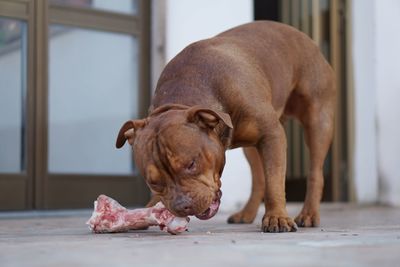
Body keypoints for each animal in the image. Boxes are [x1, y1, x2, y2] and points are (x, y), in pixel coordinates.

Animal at [115, 22, 334, 233]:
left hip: (318, 121)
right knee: (259, 178)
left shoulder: (272, 135)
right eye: (153, 182)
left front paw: (277, 217)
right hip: (250, 147)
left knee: (315, 172)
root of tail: (304, 37)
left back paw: (308, 214)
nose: (182, 205)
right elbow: (267, 179)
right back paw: (246, 213)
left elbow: (274, 182)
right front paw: (146, 210)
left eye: (191, 164)